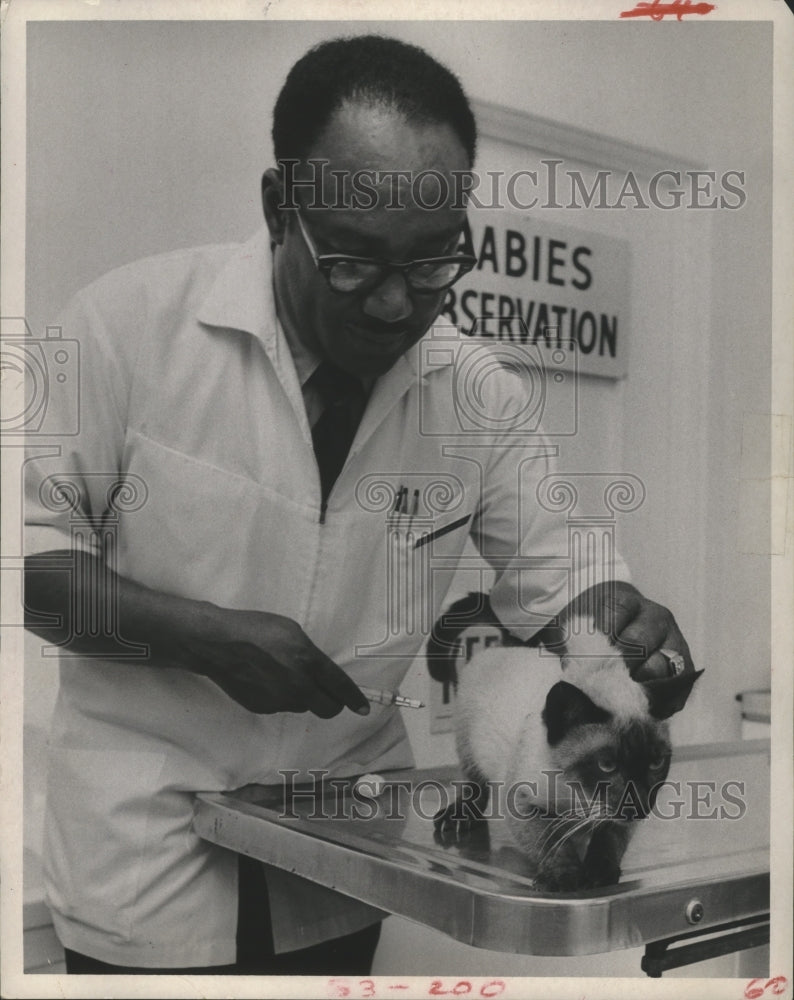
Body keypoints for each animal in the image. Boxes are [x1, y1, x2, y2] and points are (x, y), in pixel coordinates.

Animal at [426, 592, 700, 892]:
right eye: (606, 765)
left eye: (656, 763)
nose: (638, 803)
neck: (580, 799)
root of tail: (512, 646)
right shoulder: (523, 803)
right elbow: (552, 844)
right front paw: (566, 879)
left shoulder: (620, 819)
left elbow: (609, 840)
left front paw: (599, 873)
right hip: (468, 744)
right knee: (475, 784)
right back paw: (460, 816)